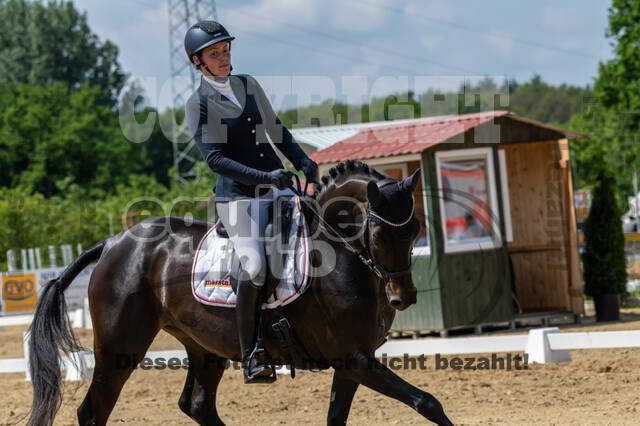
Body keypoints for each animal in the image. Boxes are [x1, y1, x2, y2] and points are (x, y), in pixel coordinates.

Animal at [27, 159, 453, 426]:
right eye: (379, 234)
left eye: (415, 229)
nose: (403, 297)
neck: (342, 255)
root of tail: (114, 243)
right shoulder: (352, 356)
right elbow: (427, 402)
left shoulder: (353, 361)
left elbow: (337, 418)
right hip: (119, 348)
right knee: (92, 412)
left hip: (205, 347)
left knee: (197, 405)